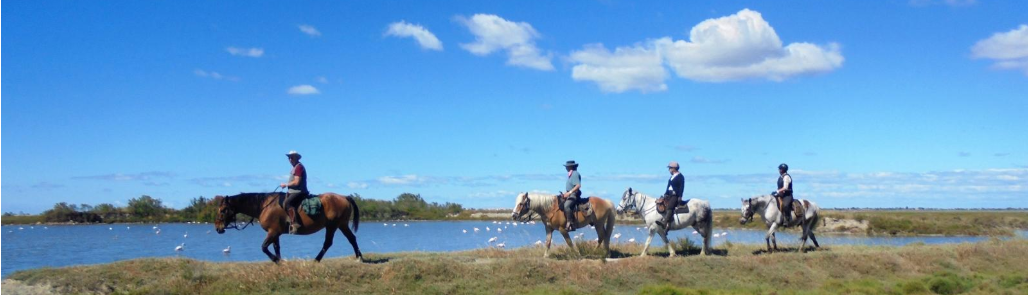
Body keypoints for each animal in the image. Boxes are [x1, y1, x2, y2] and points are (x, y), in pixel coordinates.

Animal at [210, 192, 363, 263]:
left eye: (223, 210)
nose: (217, 227)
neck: (265, 206)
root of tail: (344, 197)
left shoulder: (273, 232)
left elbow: (264, 247)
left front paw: (277, 260)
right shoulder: (275, 233)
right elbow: (276, 248)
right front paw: (279, 261)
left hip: (332, 225)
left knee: (328, 243)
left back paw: (317, 259)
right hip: (341, 224)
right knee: (352, 239)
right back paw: (359, 257)